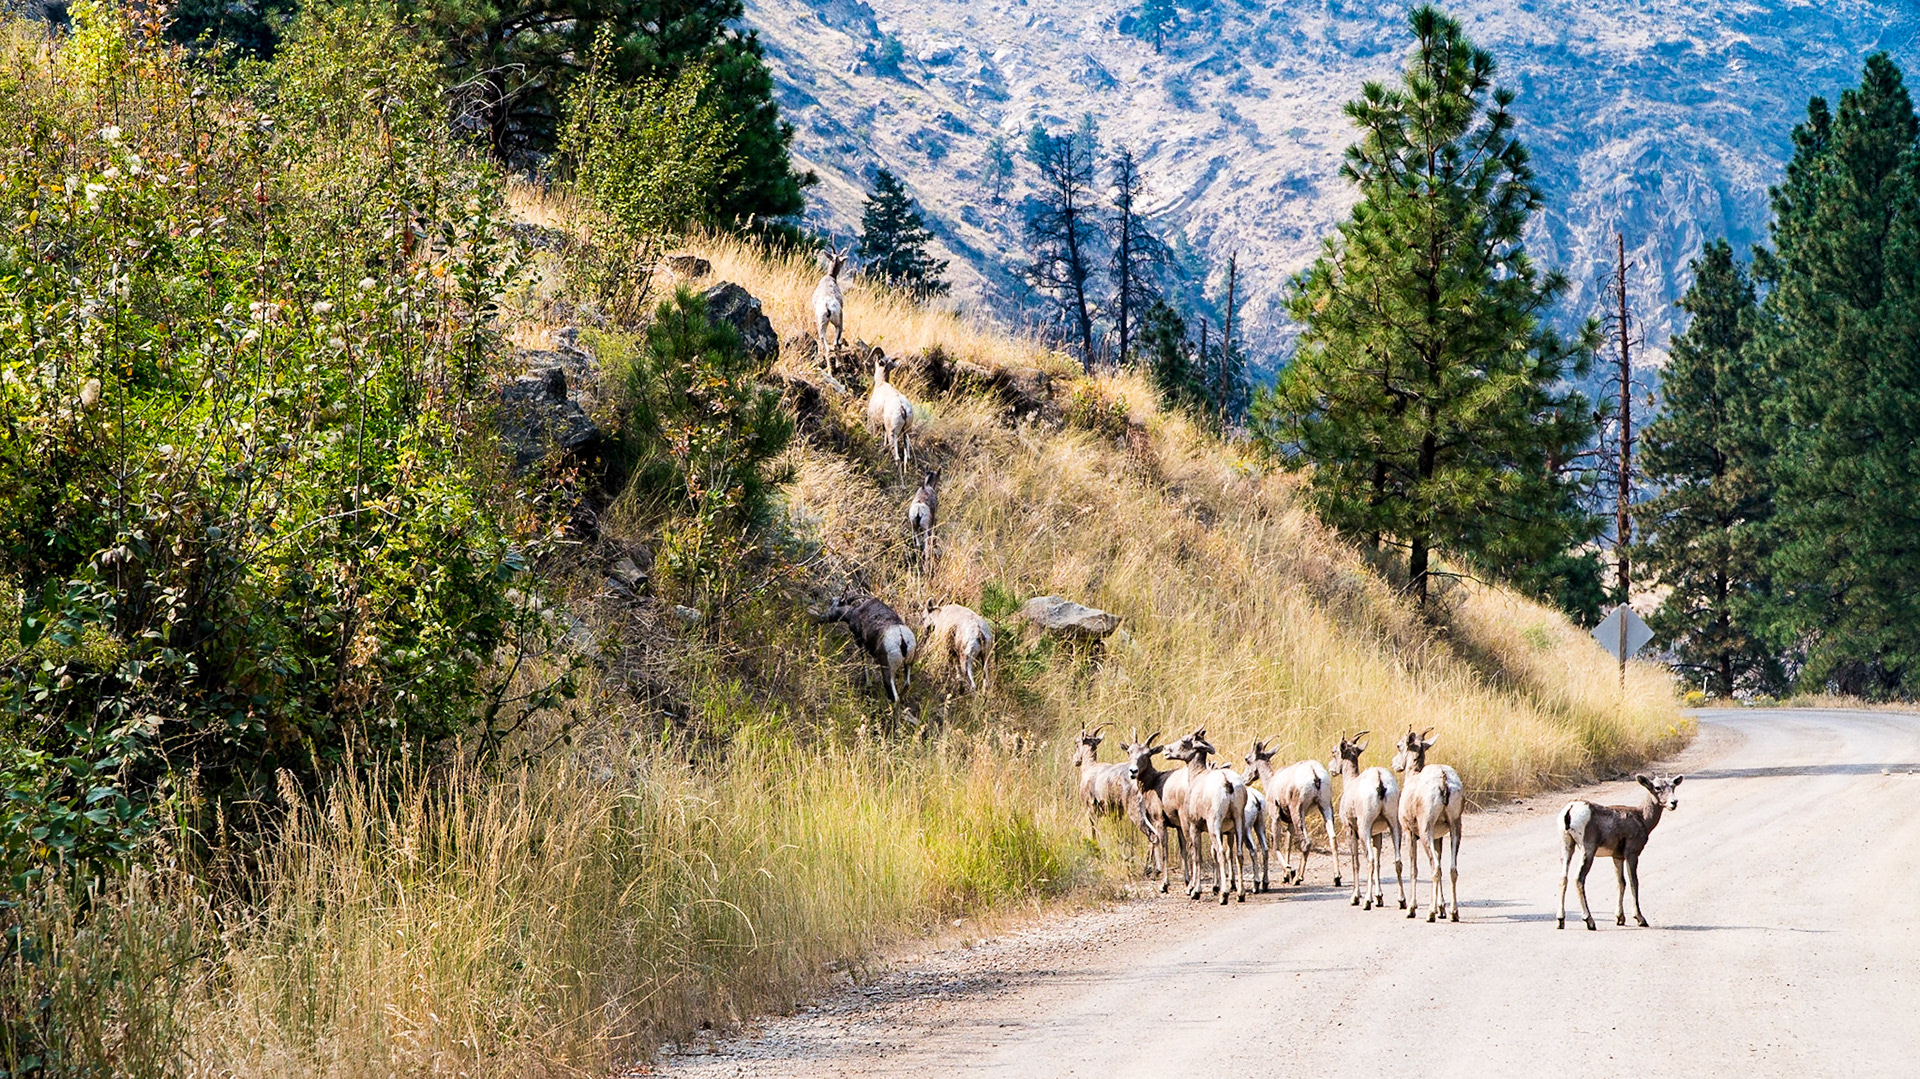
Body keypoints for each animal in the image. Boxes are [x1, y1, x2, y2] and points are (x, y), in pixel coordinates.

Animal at [1243, 738, 1338, 887]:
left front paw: (1289, 871)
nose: (1244, 780)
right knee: (1333, 838)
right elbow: (1287, 845)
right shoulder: (1290, 822)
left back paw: (1297, 878)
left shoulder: (1275, 816)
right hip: (1325, 807)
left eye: (1247, 759)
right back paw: (1337, 878)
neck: (1272, 780)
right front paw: (1285, 876)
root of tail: (1314, 773)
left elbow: (1276, 846)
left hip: (1297, 812)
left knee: (1306, 843)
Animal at [1330, 731, 1405, 910]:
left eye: (1334, 752)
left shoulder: (1351, 830)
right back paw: (1402, 901)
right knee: (1397, 861)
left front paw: (1356, 898)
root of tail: (1380, 781)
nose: (1332, 769)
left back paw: (1366, 902)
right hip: (1394, 826)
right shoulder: (1377, 833)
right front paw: (1379, 897)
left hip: (1364, 829)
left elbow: (1356, 862)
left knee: (1369, 860)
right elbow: (1378, 862)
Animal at [1392, 727, 1464, 922]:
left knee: (1435, 868)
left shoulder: (1409, 833)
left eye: (1399, 745)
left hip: (1426, 831)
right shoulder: (1439, 837)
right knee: (1452, 869)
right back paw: (1454, 913)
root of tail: (1443, 779)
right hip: (1455, 828)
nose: (1394, 764)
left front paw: (1411, 908)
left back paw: (1430, 914)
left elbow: (1413, 869)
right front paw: (1442, 909)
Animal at [1557, 774, 1683, 931]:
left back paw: (1560, 920)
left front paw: (1620, 918)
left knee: (1563, 878)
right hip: (1588, 849)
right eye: (1657, 787)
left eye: (1673, 786)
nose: (1674, 802)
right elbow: (1633, 882)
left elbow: (1621, 882)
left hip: (1566, 845)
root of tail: (1570, 810)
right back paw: (1589, 921)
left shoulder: (1617, 857)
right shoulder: (1632, 853)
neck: (1642, 818)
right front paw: (1640, 919)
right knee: (1579, 878)